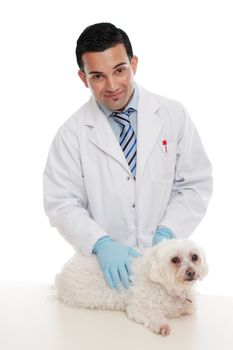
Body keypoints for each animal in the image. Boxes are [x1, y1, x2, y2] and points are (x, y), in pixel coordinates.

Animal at [54, 239, 208, 334]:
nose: (191, 272)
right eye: (175, 259)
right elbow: (152, 315)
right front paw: (162, 326)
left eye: (194, 257)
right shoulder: (139, 307)